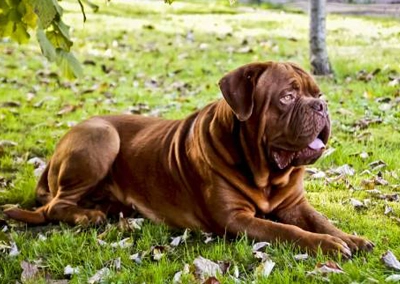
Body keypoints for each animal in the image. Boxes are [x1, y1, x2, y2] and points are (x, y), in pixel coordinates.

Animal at [3, 61, 374, 256]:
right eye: (287, 96)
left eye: (318, 93)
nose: (322, 106)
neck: (266, 172)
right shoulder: (236, 219)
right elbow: (287, 231)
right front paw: (328, 245)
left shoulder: (295, 205)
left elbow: (321, 220)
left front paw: (350, 238)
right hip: (102, 137)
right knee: (53, 207)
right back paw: (86, 216)